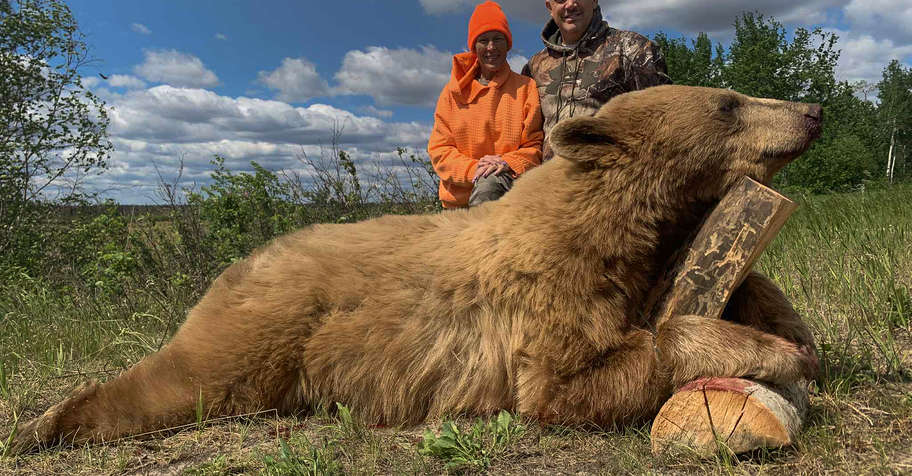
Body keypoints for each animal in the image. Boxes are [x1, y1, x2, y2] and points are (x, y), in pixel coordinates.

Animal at [7, 85, 820, 453]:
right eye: (729, 102)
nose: (809, 112)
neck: (613, 226)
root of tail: (238, 264)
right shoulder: (546, 288)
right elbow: (566, 383)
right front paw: (770, 352)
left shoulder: (643, 262)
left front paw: (793, 332)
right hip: (268, 326)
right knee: (184, 380)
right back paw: (47, 422)